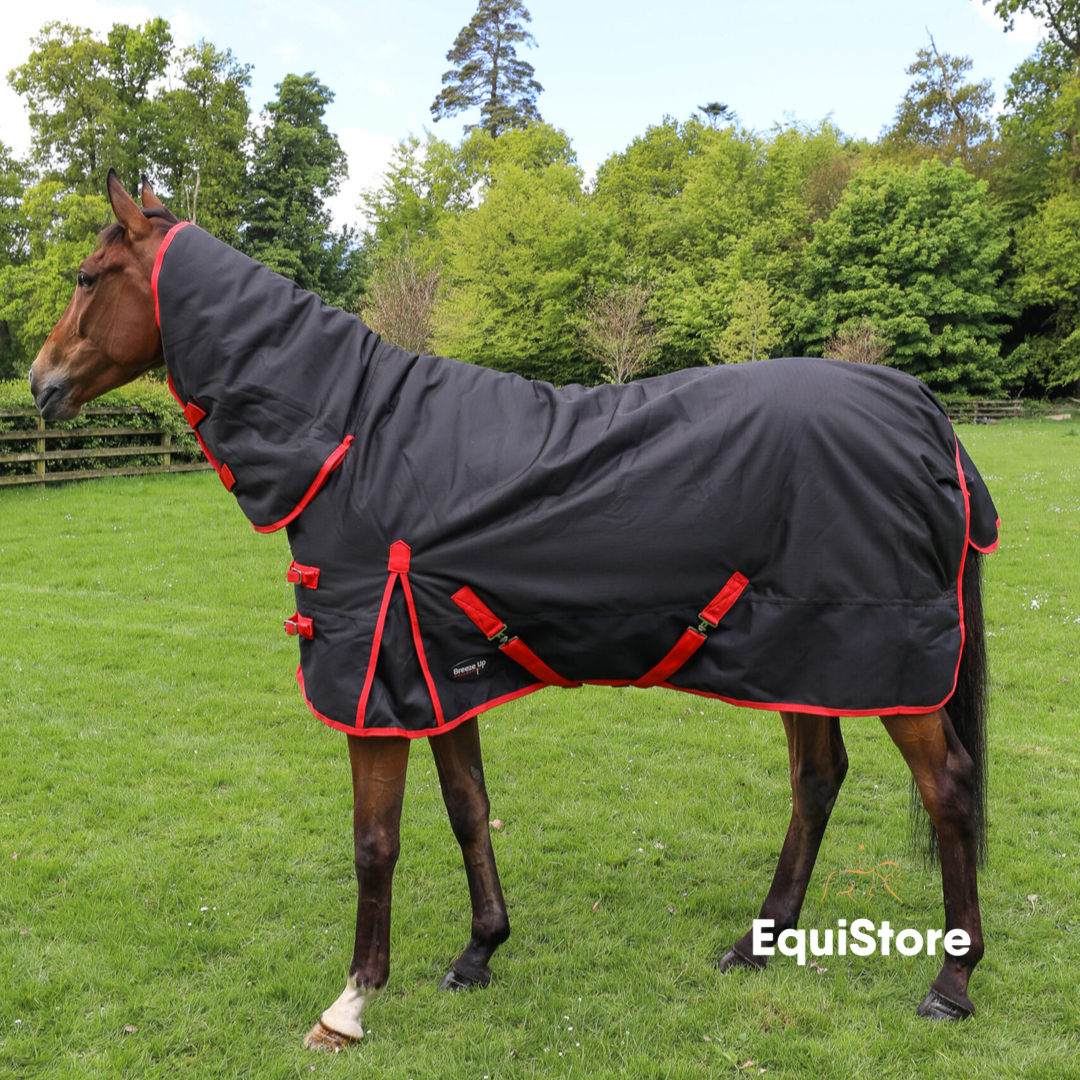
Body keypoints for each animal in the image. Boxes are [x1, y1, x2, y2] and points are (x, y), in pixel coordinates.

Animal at [29, 171, 997, 1048]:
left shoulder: (374, 683)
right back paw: (757, 944)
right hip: (806, 657)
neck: (353, 439)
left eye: (87, 276)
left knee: (946, 788)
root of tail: (925, 414)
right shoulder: (436, 670)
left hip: (886, 659)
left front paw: (351, 1002)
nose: (38, 383)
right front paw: (479, 952)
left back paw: (951, 984)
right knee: (817, 779)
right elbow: (467, 807)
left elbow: (373, 841)